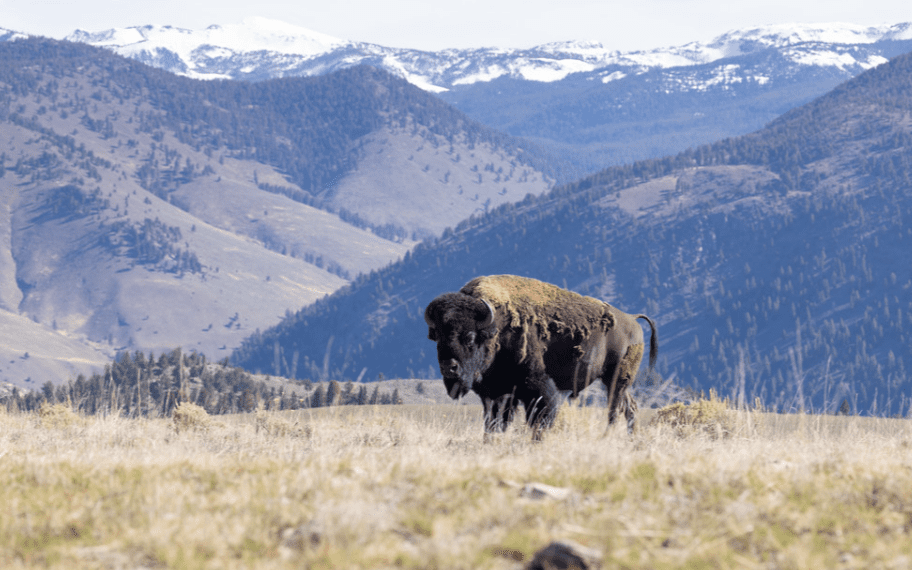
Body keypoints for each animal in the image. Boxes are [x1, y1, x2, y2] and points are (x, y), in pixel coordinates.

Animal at [424, 275, 658, 439]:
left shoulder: (537, 388)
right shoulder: (498, 394)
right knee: (630, 407)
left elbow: (539, 418)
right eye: (438, 337)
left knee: (614, 410)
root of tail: (632, 320)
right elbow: (495, 422)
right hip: (617, 382)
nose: (448, 367)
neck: (496, 328)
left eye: (470, 337)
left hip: (616, 379)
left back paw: (607, 437)